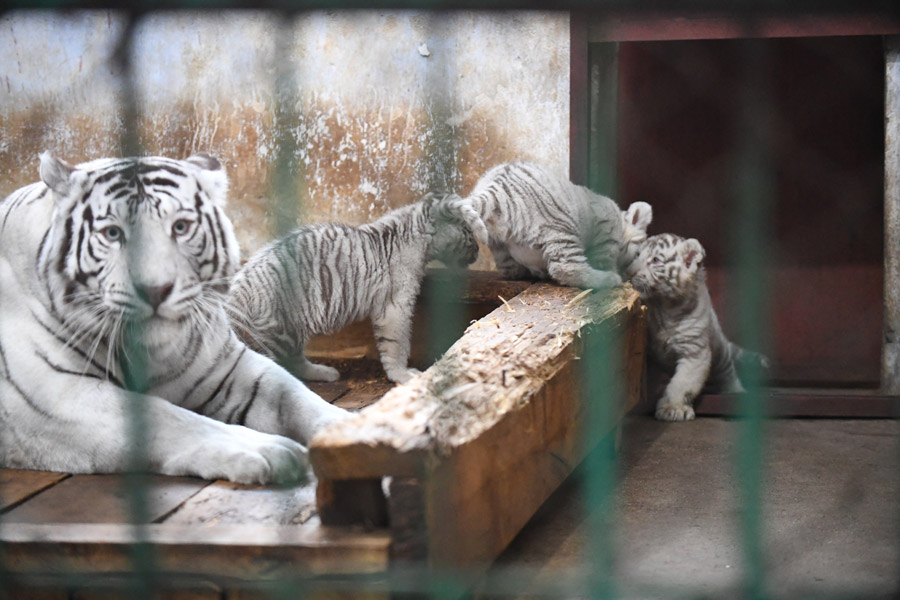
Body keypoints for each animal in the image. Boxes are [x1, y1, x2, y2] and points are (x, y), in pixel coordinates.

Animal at [0, 152, 348, 486]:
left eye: (180, 227)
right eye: (112, 233)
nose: (155, 290)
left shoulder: (227, 367)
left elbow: (295, 396)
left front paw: (347, 431)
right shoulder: (54, 395)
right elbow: (173, 419)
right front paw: (271, 450)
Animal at [229, 192, 488, 384]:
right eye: (468, 233)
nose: (478, 251)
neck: (415, 231)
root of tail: (242, 281)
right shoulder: (396, 306)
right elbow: (398, 343)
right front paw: (402, 375)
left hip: (290, 329)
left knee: (295, 360)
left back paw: (324, 373)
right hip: (279, 331)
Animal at [454, 162, 652, 288]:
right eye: (639, 254)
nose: (636, 274)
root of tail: (496, 190)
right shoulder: (606, 237)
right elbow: (603, 260)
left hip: (497, 242)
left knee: (508, 269)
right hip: (561, 229)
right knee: (566, 268)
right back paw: (609, 280)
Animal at [628, 233, 768, 422]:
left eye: (655, 260)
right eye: (637, 255)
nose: (628, 272)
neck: (663, 306)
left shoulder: (694, 353)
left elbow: (681, 384)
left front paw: (673, 408)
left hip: (720, 352)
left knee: (728, 373)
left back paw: (736, 393)